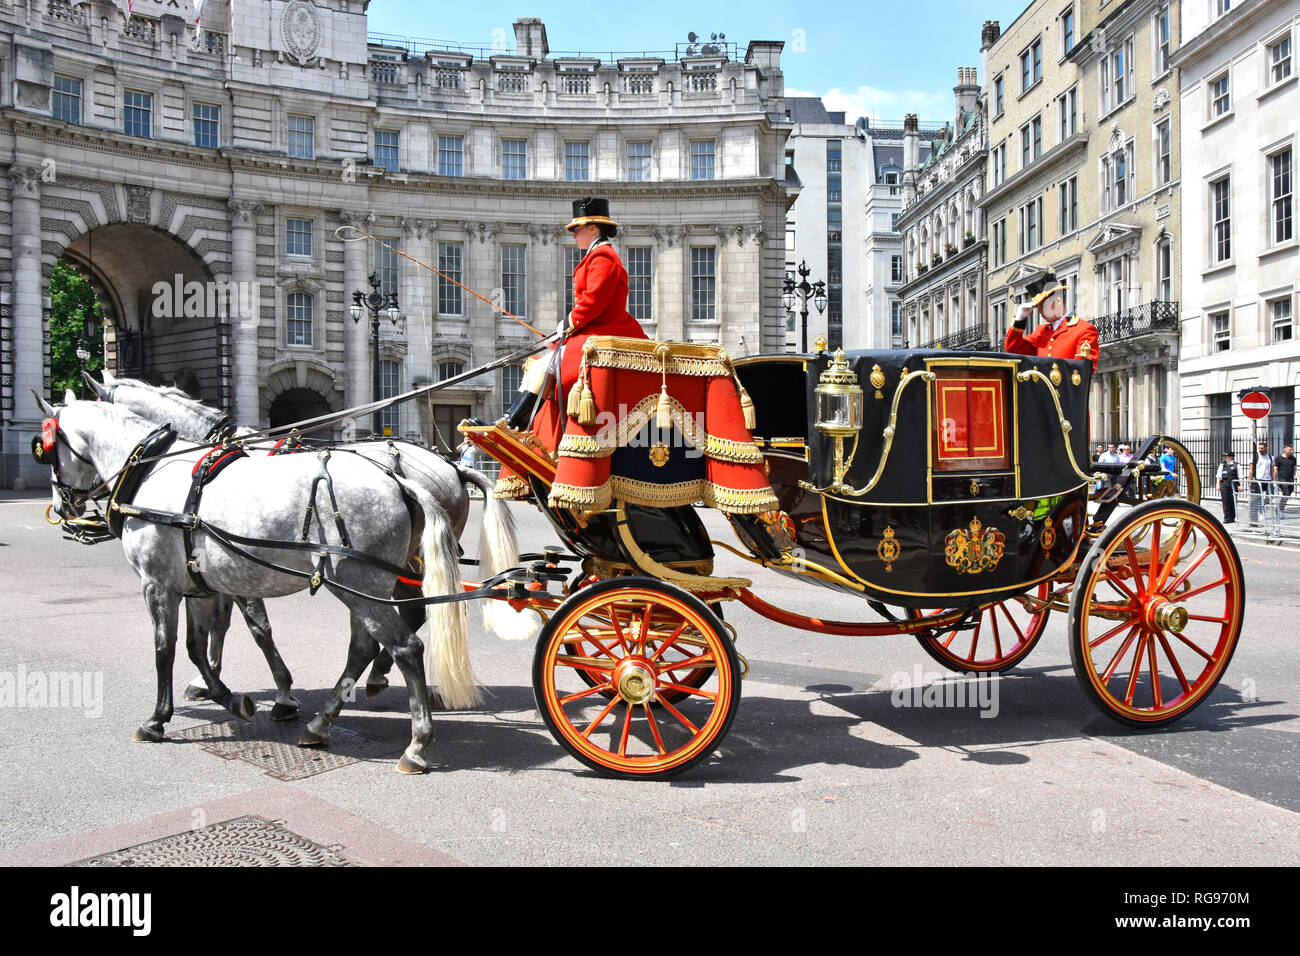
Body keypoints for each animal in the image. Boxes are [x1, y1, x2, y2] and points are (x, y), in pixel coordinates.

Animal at [85, 371, 533, 712]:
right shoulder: (219, 567)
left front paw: (278, 691)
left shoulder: (237, 565)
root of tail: (452, 467)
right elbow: (221, 623)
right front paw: (208, 678)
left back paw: (376, 676)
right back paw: (376, 675)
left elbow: (253, 627)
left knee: (407, 616)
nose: (82, 511)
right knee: (409, 613)